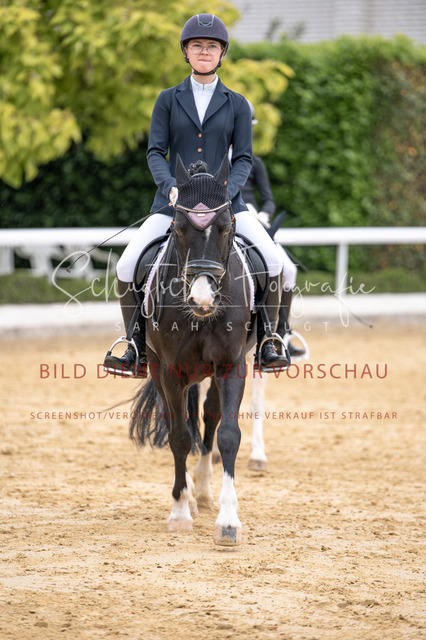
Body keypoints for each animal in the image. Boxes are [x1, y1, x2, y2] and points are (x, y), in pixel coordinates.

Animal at [129, 155, 258, 546]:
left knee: (210, 417)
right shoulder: (169, 371)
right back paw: (188, 495)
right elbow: (180, 436)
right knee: (182, 421)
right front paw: (179, 512)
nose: (203, 300)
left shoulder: (232, 365)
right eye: (179, 227)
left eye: (226, 226)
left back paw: (202, 492)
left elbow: (228, 434)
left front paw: (228, 521)